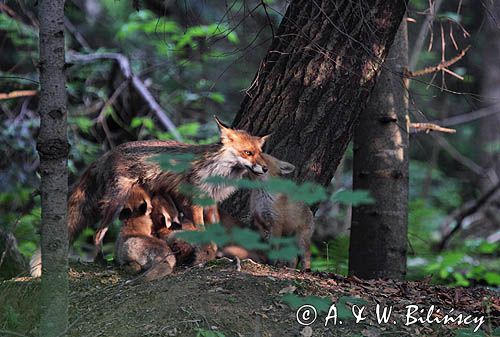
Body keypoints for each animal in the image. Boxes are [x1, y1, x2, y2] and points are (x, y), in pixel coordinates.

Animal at [30, 116, 270, 276]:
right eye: (247, 153)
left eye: (260, 153)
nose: (266, 168)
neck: (218, 173)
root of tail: (107, 153)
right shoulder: (194, 201)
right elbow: (202, 230)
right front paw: (206, 253)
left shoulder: (211, 202)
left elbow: (216, 230)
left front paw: (219, 253)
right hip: (115, 202)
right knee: (98, 234)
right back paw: (102, 261)